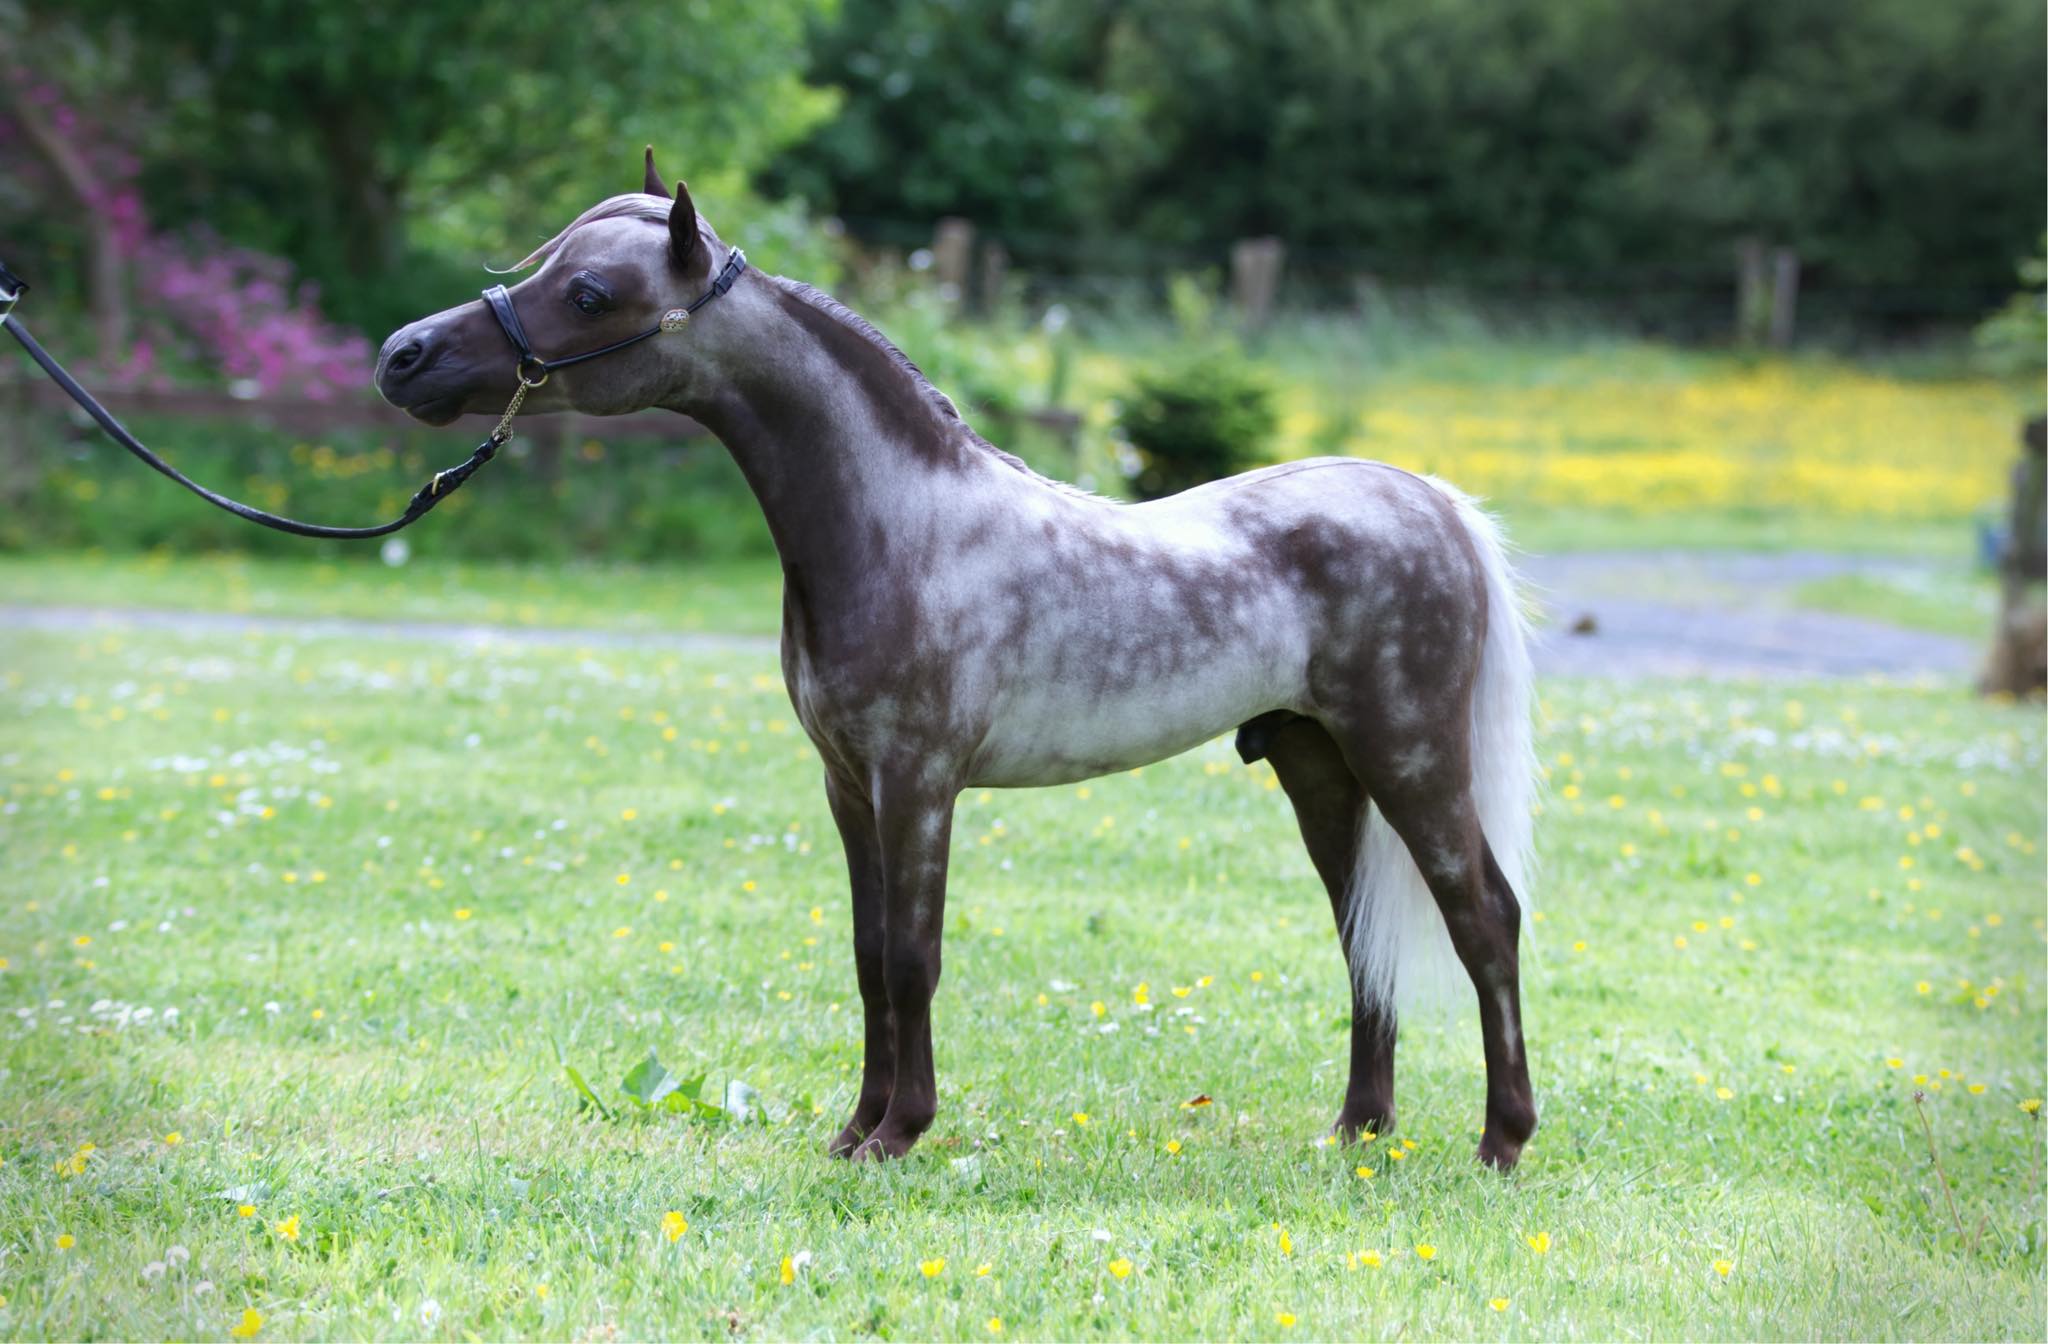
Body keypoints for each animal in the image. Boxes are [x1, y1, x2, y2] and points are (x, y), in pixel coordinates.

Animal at [375, 150, 1543, 1170]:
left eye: (588, 292)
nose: (402, 357)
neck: (901, 523)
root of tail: (1429, 500)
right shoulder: (848, 785)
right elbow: (865, 958)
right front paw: (852, 1131)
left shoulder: (920, 780)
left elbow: (912, 955)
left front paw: (900, 1133)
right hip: (1317, 767)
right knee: (1363, 936)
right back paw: (1358, 1132)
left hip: (1408, 756)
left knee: (1483, 916)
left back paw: (1500, 1142)